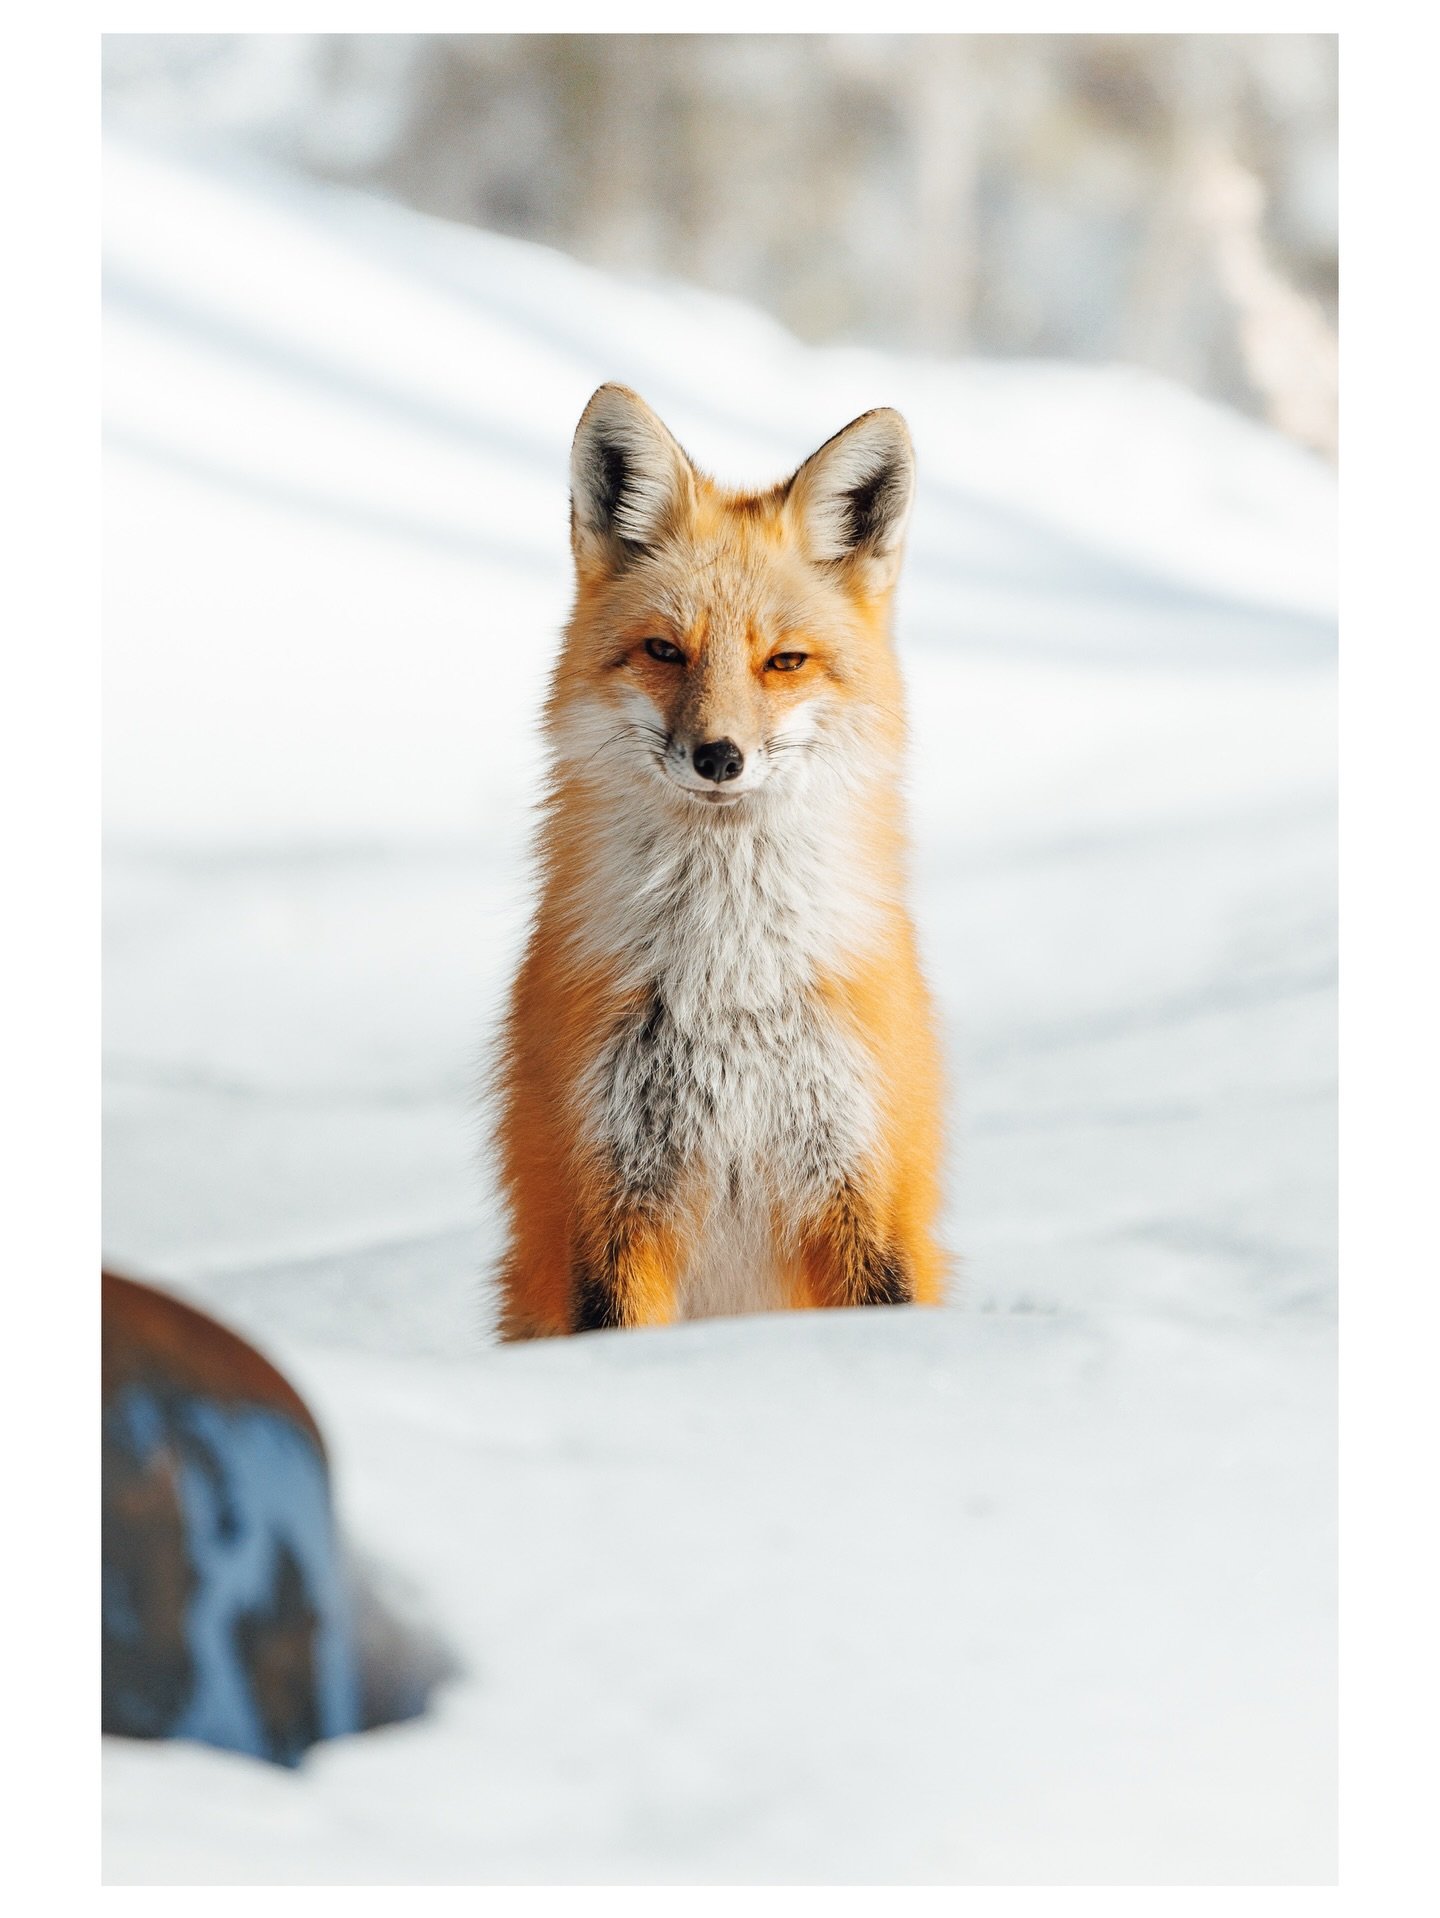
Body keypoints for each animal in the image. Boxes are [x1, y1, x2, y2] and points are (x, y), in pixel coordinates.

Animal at [492, 383, 947, 1339]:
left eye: (784, 662)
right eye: (667, 650)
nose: (719, 758)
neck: (732, 980)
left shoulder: (862, 1184)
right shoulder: (611, 1197)